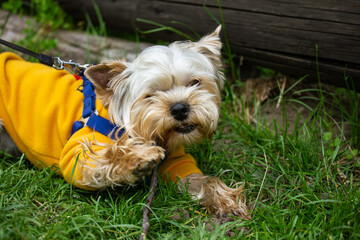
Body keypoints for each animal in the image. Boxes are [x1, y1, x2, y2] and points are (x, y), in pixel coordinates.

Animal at [0, 25, 250, 218]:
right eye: (150, 95)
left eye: (195, 83)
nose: (180, 108)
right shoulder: (77, 155)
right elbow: (104, 155)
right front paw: (138, 157)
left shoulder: (176, 160)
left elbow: (200, 179)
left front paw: (224, 200)